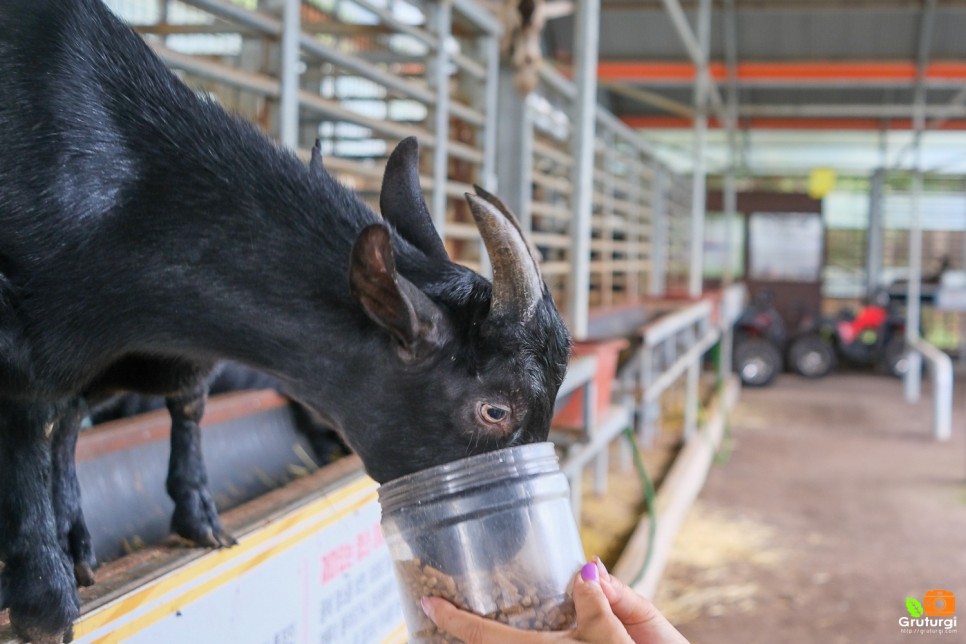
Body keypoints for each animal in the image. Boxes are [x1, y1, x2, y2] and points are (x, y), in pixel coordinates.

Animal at [0, 2, 572, 640]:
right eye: (495, 411)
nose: (510, 545)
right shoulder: (25, 339)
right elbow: (31, 423)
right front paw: (44, 601)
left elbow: (181, 405)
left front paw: (199, 516)